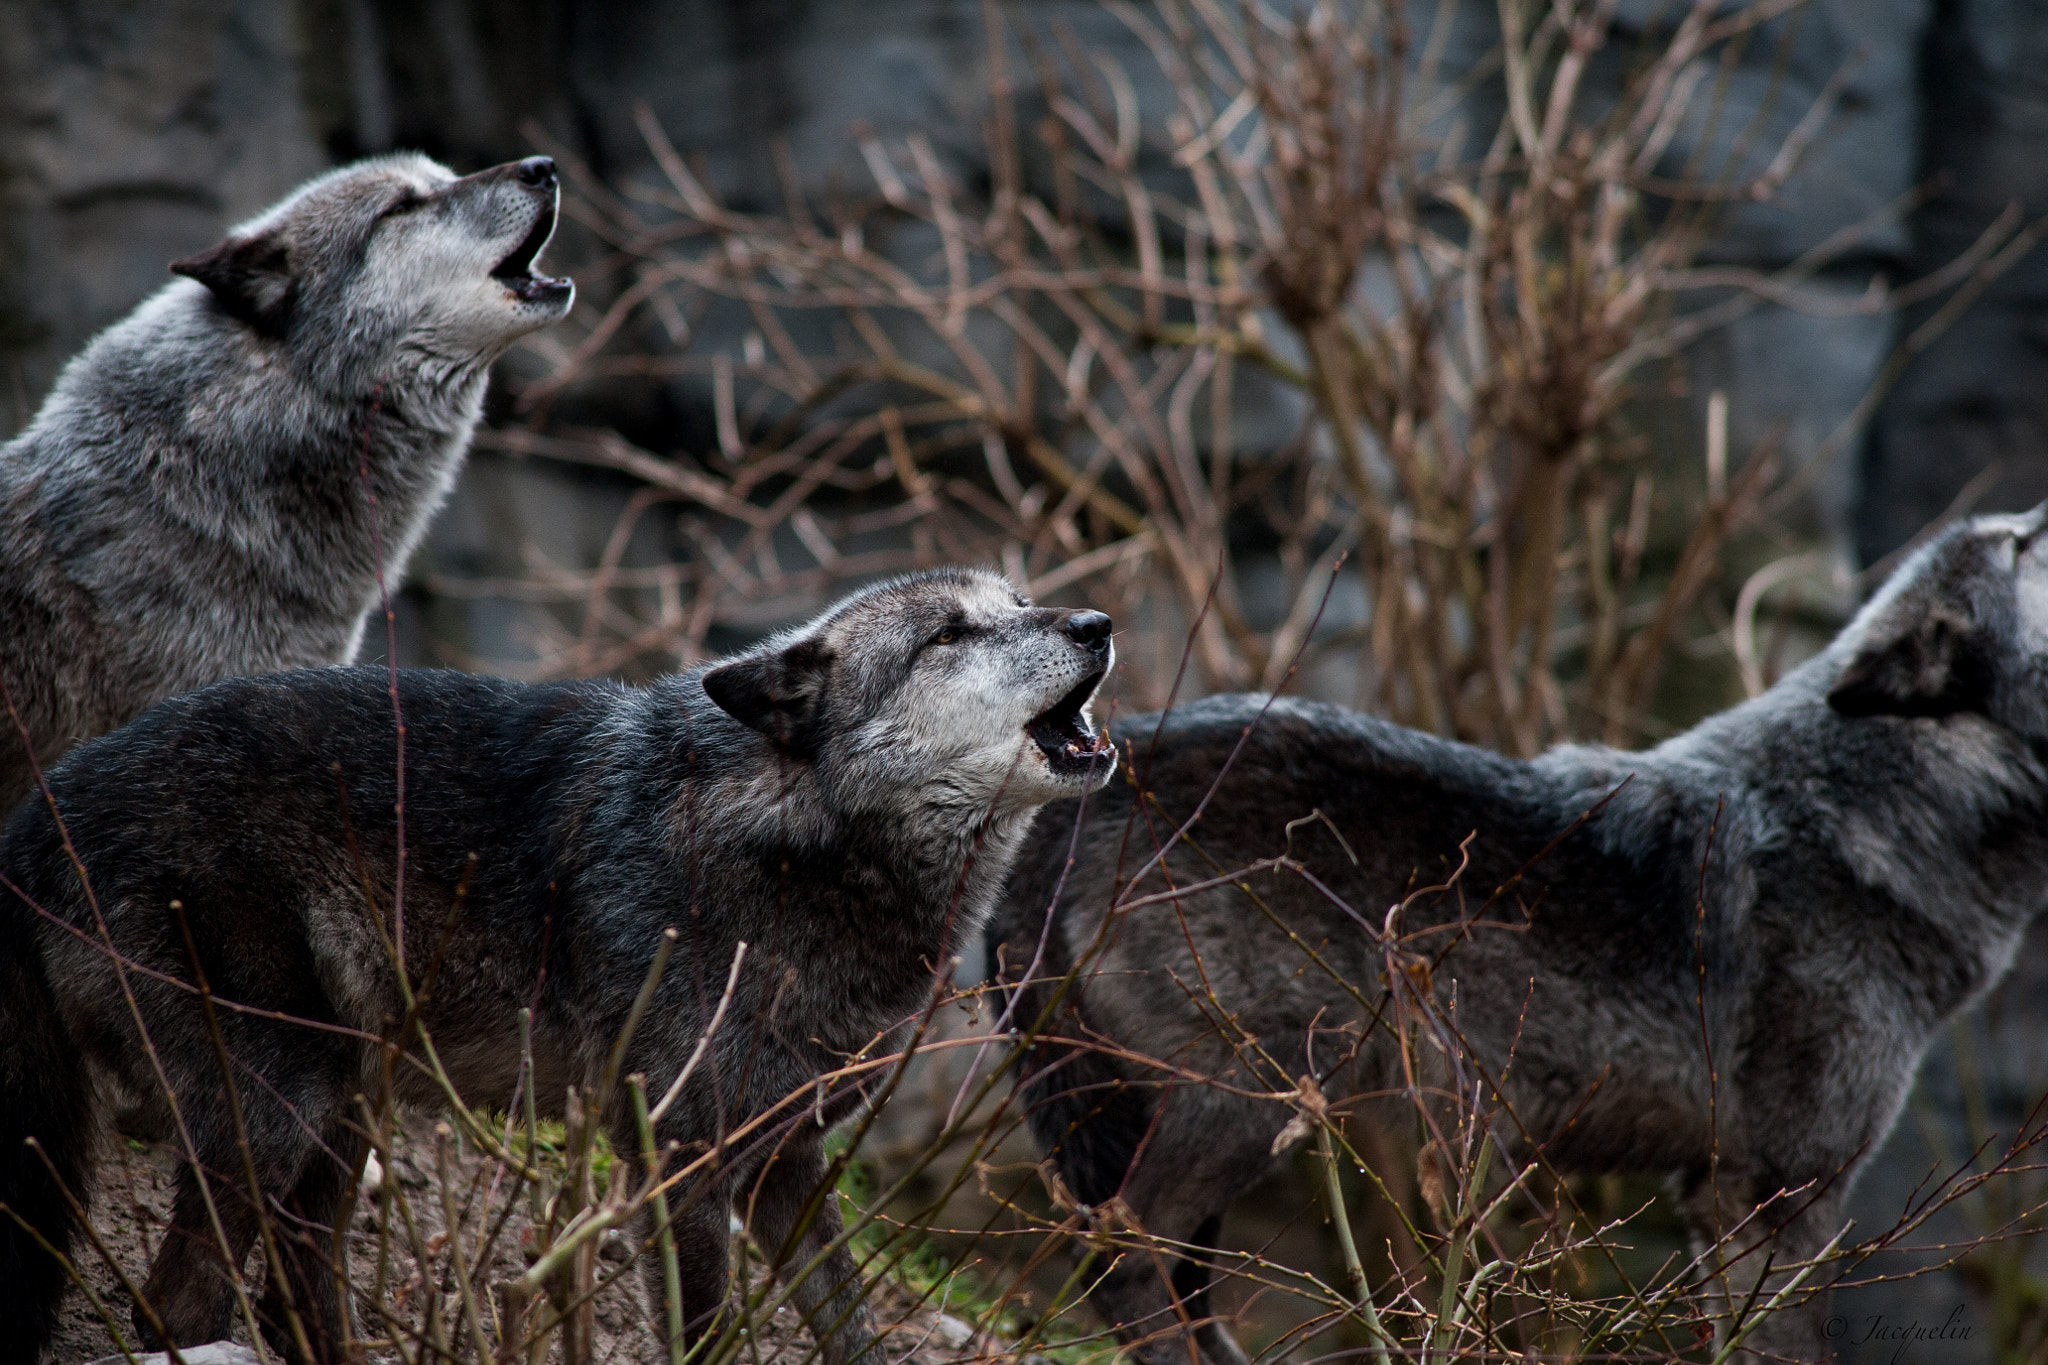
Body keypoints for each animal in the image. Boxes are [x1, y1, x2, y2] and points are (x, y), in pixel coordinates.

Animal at [4, 564, 1122, 1365]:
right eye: (950, 635)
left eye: (1022, 602)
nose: (1097, 623)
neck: (805, 845)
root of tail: (34, 818)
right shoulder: (677, 1159)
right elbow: (704, 1335)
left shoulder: (785, 1162)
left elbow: (849, 1333)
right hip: (282, 1112)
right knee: (172, 1306)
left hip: (339, 1122)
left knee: (286, 1305)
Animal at [995, 509, 2048, 1365]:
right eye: (2022, 543)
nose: (2036, 503)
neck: (1864, 815)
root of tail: (1052, 817)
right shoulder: (1777, 1191)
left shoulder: (1718, 1193)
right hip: (1244, 1100)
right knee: (1119, 1252)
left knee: (1173, 1277)